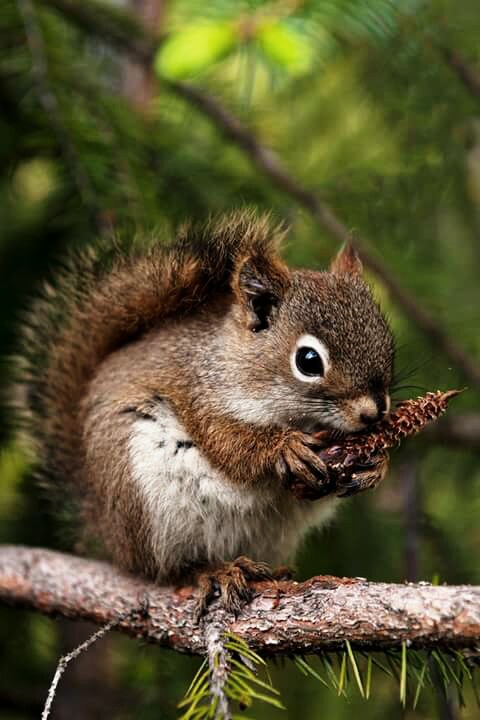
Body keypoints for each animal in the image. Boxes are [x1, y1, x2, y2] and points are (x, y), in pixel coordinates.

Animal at [17, 210, 394, 613]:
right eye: (308, 361)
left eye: (386, 337)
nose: (374, 413)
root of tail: (105, 527)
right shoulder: (200, 396)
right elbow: (228, 444)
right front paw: (284, 447)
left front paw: (377, 463)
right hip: (146, 502)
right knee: (166, 570)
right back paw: (214, 571)